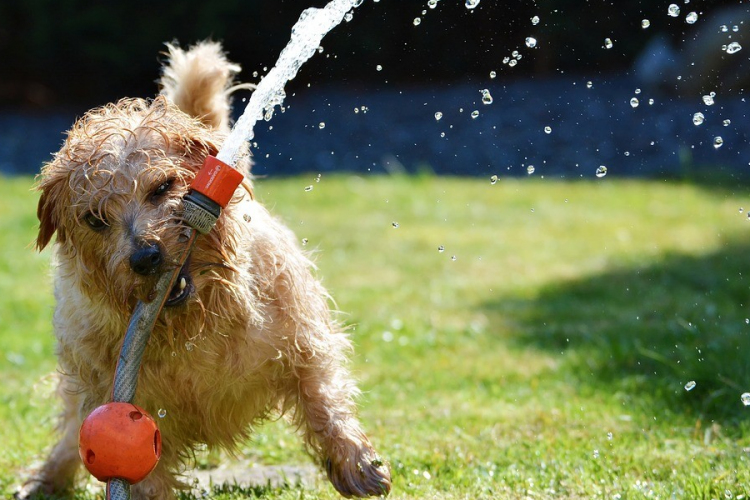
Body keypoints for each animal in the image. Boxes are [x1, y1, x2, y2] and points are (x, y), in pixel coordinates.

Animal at [19, 41, 394, 498]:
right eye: (95, 219)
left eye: (163, 187)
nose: (146, 256)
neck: (193, 326)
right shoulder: (125, 400)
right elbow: (142, 470)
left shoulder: (303, 340)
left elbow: (323, 397)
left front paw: (356, 463)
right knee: (71, 428)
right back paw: (47, 478)